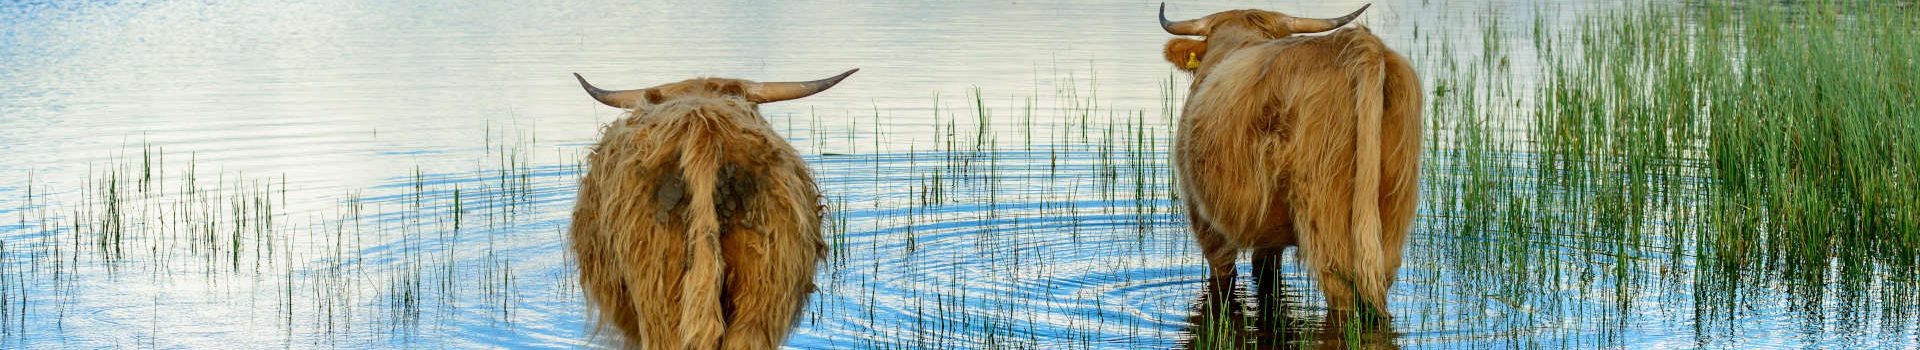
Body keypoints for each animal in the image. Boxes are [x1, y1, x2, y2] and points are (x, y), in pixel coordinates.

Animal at [1152, 4, 1428, 317]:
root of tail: (1357, 43)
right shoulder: (1269, 234)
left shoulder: (1205, 221)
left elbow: (1223, 280)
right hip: (1391, 212)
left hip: (1325, 216)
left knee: (1342, 295)